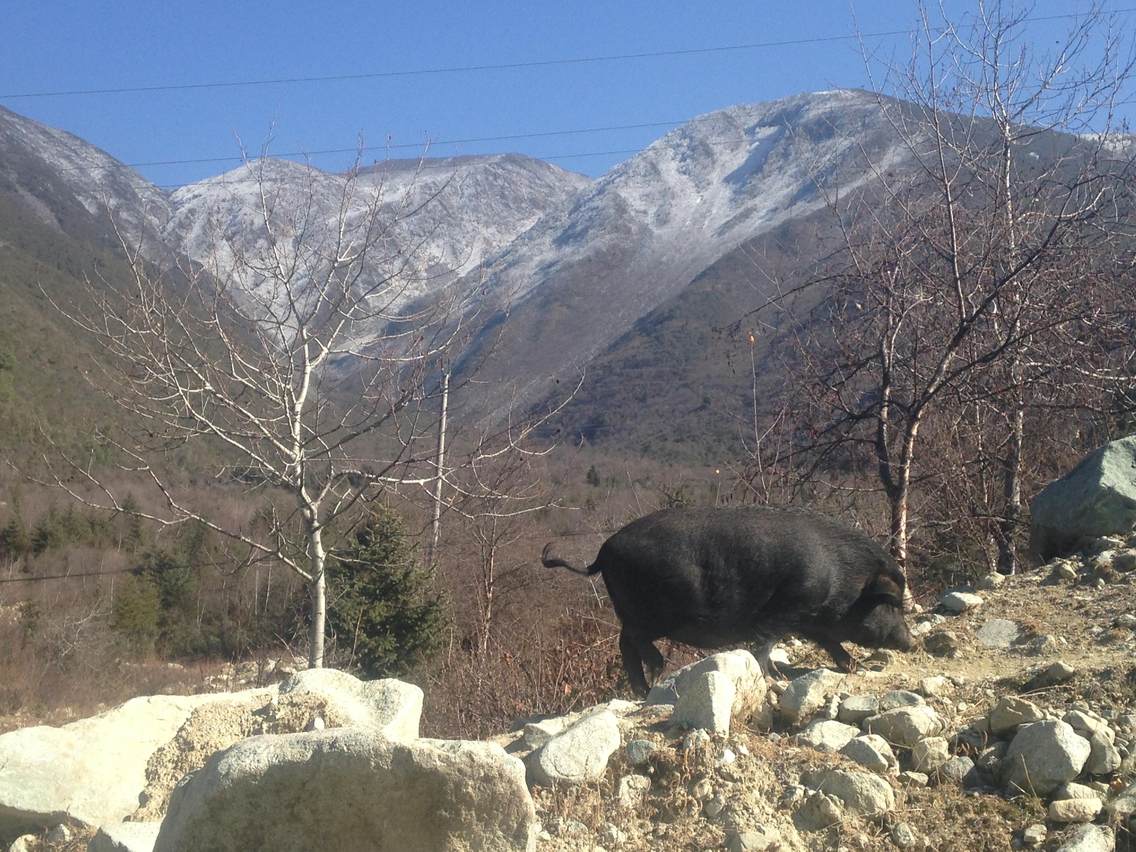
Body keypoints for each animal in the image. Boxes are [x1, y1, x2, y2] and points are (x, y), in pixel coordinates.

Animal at [540, 506, 913, 695]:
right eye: (891, 603)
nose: (909, 642)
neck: (844, 577)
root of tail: (604, 551)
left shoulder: (811, 617)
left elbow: (830, 641)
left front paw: (854, 667)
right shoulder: (787, 607)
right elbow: (765, 644)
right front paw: (772, 678)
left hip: (629, 611)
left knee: (625, 645)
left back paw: (643, 689)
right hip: (645, 613)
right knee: (631, 641)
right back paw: (657, 674)